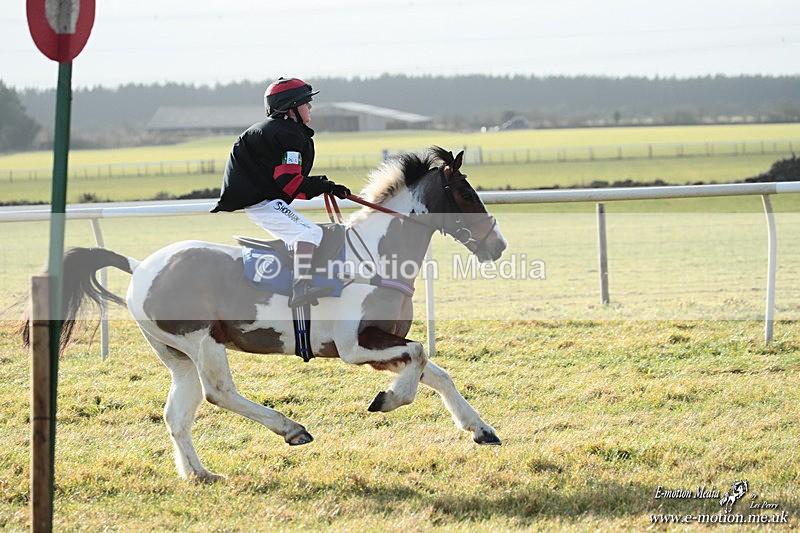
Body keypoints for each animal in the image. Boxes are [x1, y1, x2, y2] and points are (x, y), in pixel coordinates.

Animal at [22, 147, 508, 482]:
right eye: (466, 193)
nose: (497, 245)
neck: (376, 257)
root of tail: (141, 265)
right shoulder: (355, 346)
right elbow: (420, 356)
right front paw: (387, 399)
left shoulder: (381, 343)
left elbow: (436, 371)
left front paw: (479, 429)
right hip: (203, 341)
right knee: (218, 393)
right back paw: (290, 428)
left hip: (177, 355)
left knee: (178, 412)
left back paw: (200, 474)